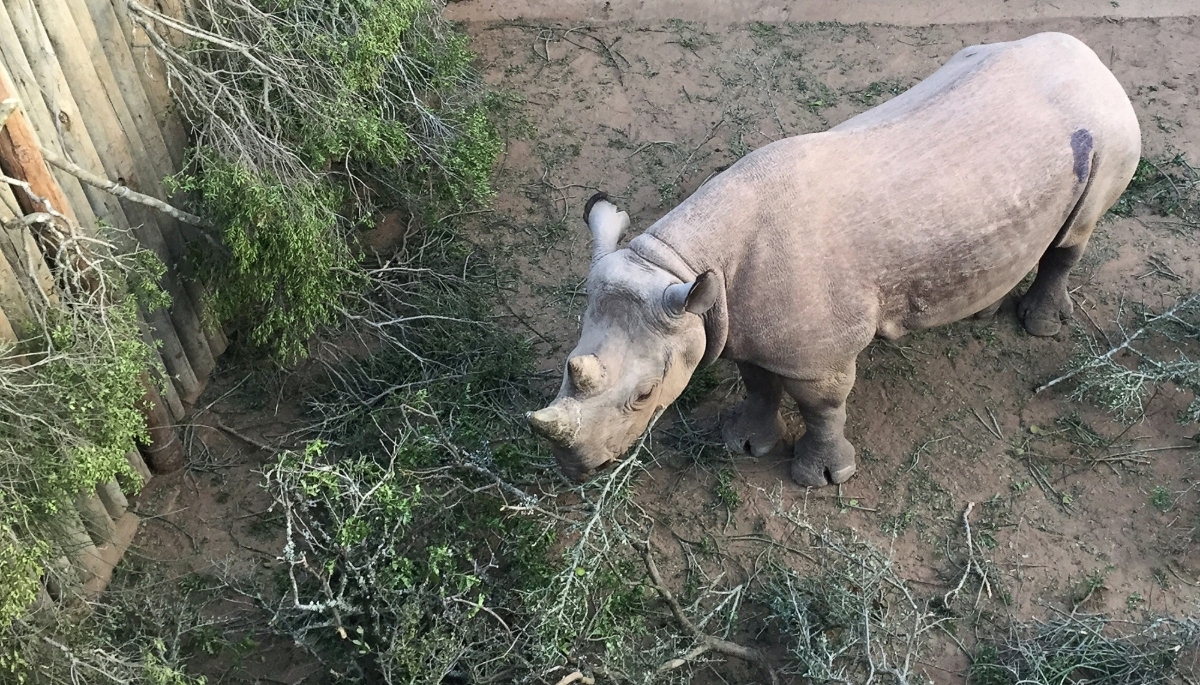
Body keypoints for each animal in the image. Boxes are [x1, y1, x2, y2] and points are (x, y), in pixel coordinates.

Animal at [527, 32, 1140, 486]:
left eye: (644, 396)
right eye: (568, 364)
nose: (575, 469)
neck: (677, 264)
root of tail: (1093, 60)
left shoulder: (817, 352)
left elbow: (822, 404)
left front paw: (823, 478)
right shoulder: (737, 318)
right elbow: (758, 382)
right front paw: (742, 443)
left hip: (1110, 129)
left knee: (1076, 231)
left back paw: (1040, 327)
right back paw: (984, 312)